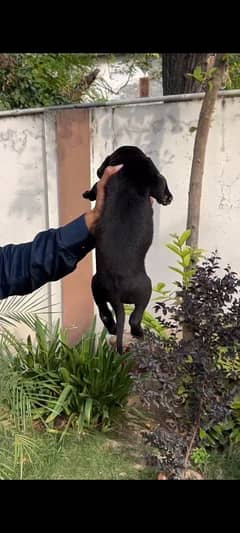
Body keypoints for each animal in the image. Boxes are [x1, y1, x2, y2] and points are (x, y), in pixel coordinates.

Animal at [82, 145, 172, 354]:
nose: (169, 199)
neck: (128, 162)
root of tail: (115, 292)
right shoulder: (155, 176)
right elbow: (161, 183)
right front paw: (167, 197)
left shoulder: (102, 184)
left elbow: (96, 186)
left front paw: (88, 193)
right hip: (145, 288)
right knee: (134, 319)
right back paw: (139, 333)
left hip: (95, 286)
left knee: (105, 313)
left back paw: (113, 327)